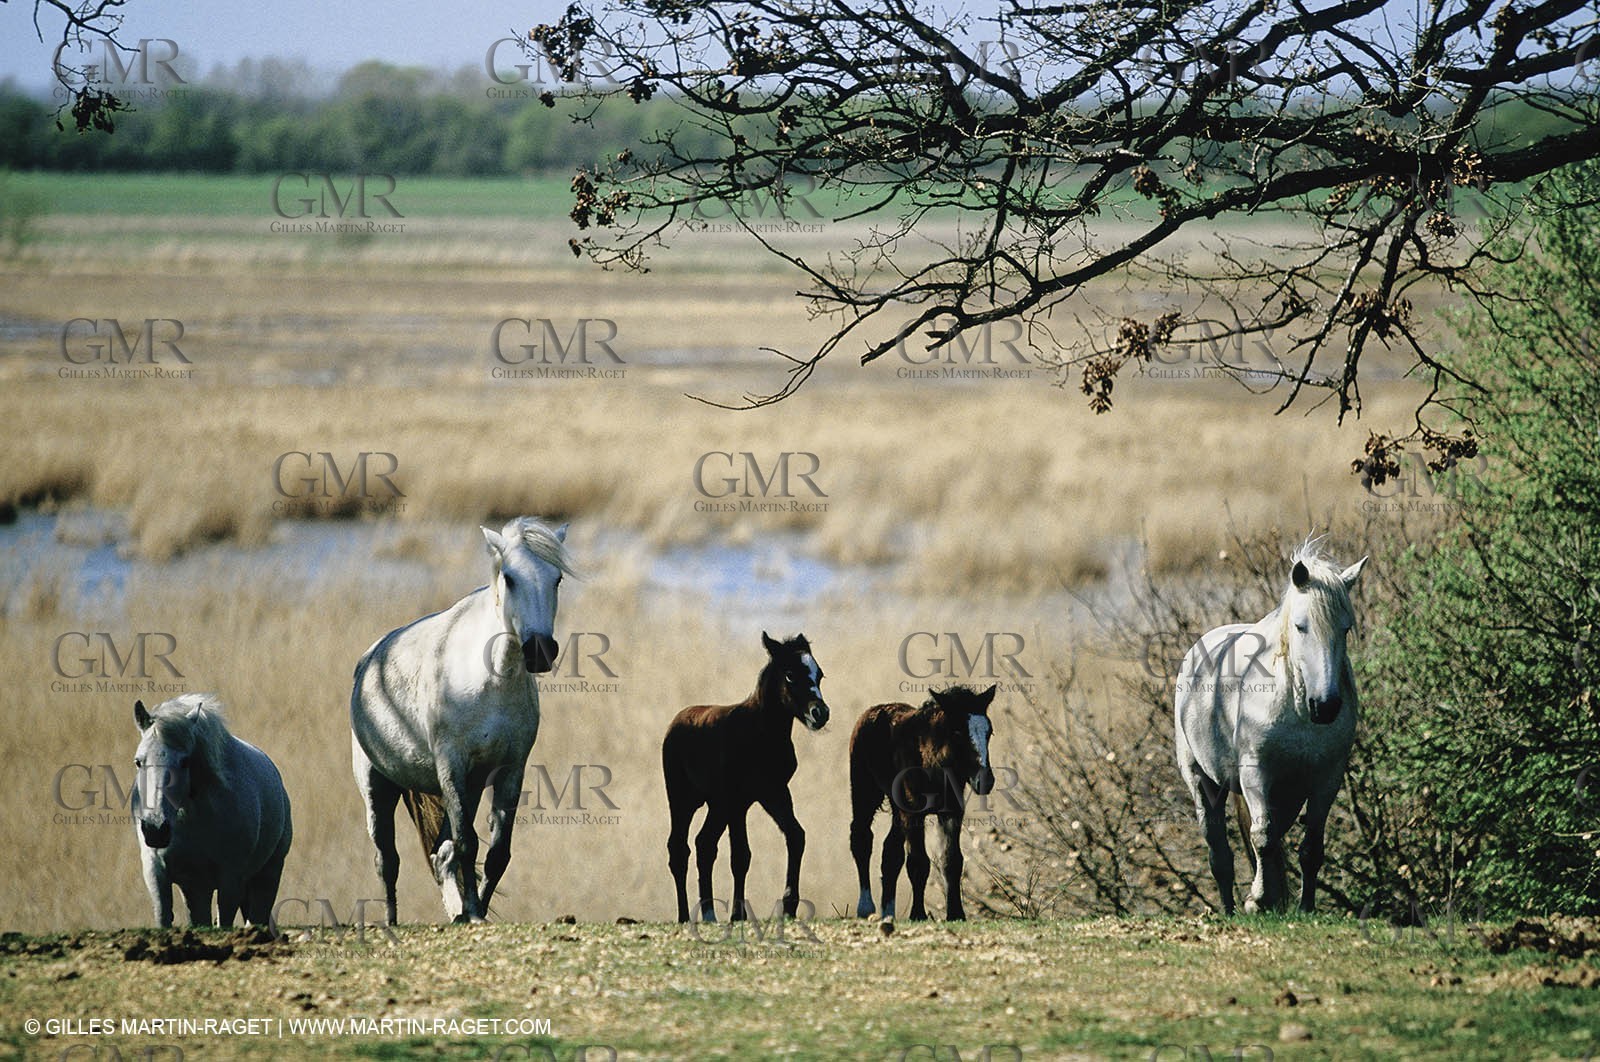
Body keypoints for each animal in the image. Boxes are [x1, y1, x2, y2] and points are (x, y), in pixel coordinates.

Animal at [131, 694, 292, 928]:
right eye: (138, 762)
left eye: (185, 761)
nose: (156, 829)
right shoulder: (157, 871)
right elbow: (163, 916)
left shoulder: (231, 877)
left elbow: (224, 920)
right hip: (199, 889)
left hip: (268, 875)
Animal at [350, 516, 574, 923]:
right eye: (510, 577)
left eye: (557, 579)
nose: (539, 650)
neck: (487, 680)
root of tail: (370, 658)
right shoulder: (451, 765)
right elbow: (468, 844)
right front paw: (472, 912)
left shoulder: (509, 769)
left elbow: (496, 853)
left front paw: (475, 909)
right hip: (377, 787)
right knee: (387, 861)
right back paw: (391, 920)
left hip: (468, 787)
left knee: (442, 854)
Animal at [663, 632, 830, 923]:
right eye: (790, 675)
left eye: (819, 674)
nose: (819, 714)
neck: (761, 734)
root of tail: (677, 720)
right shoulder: (737, 800)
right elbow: (740, 855)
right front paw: (738, 913)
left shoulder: (773, 792)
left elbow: (796, 835)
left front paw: (789, 905)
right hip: (683, 799)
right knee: (679, 849)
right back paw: (685, 915)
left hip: (716, 805)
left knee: (704, 844)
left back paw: (709, 913)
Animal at [849, 684, 996, 922]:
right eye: (957, 732)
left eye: (988, 732)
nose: (985, 780)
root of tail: (873, 710)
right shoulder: (913, 813)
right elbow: (918, 863)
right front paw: (917, 914)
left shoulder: (952, 811)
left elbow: (951, 860)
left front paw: (956, 913)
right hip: (865, 792)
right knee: (861, 839)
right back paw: (866, 907)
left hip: (897, 807)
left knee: (890, 852)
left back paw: (888, 912)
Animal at [1174, 538, 1368, 914]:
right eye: (1301, 626)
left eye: (1345, 628)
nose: (1326, 706)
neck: (1295, 709)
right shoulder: (1255, 772)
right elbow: (1261, 837)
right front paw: (1259, 898)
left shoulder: (1326, 778)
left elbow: (1311, 848)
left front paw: (1305, 906)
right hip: (1202, 781)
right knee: (1220, 854)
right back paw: (1231, 909)